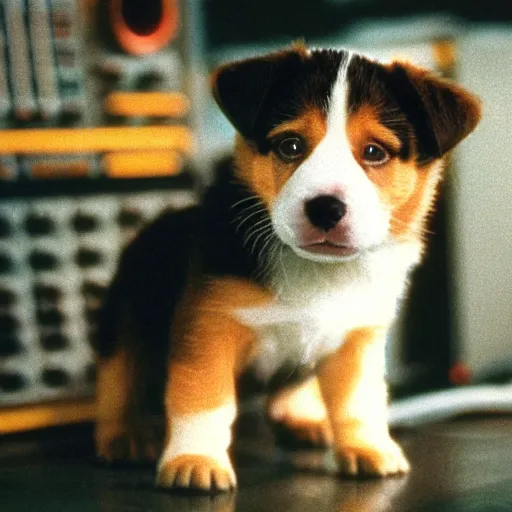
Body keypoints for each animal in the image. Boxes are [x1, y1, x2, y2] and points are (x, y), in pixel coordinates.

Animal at [93, 44, 480, 492]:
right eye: (291, 146)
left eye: (374, 152)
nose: (326, 208)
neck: (319, 270)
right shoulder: (208, 329)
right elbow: (203, 399)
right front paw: (195, 459)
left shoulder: (358, 339)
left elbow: (359, 402)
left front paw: (367, 448)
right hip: (122, 324)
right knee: (118, 381)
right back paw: (125, 436)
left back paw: (304, 420)